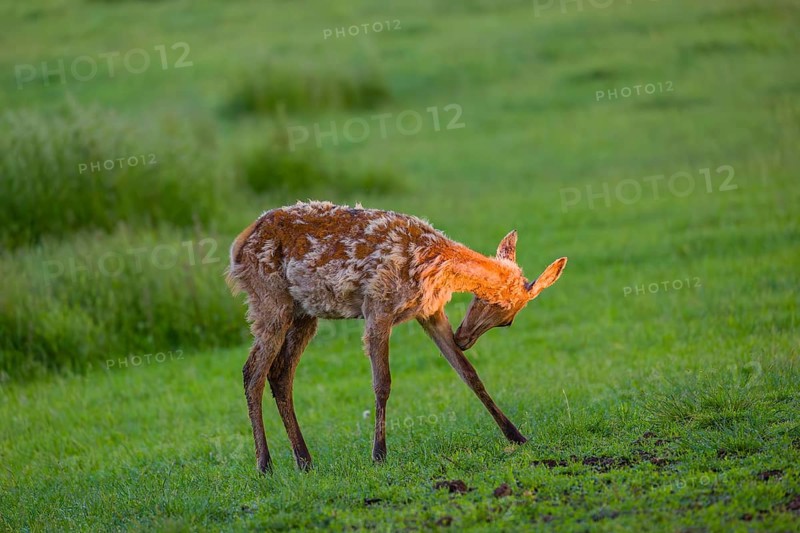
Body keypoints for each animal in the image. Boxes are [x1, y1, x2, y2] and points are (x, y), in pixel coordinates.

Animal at [226, 201, 567, 472]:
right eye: (507, 320)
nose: (464, 338)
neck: (434, 262)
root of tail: (237, 248)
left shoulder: (430, 311)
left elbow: (469, 373)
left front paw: (516, 435)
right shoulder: (377, 304)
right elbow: (383, 383)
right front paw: (379, 454)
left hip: (304, 313)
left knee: (280, 373)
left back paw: (304, 460)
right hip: (270, 300)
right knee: (252, 371)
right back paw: (264, 464)